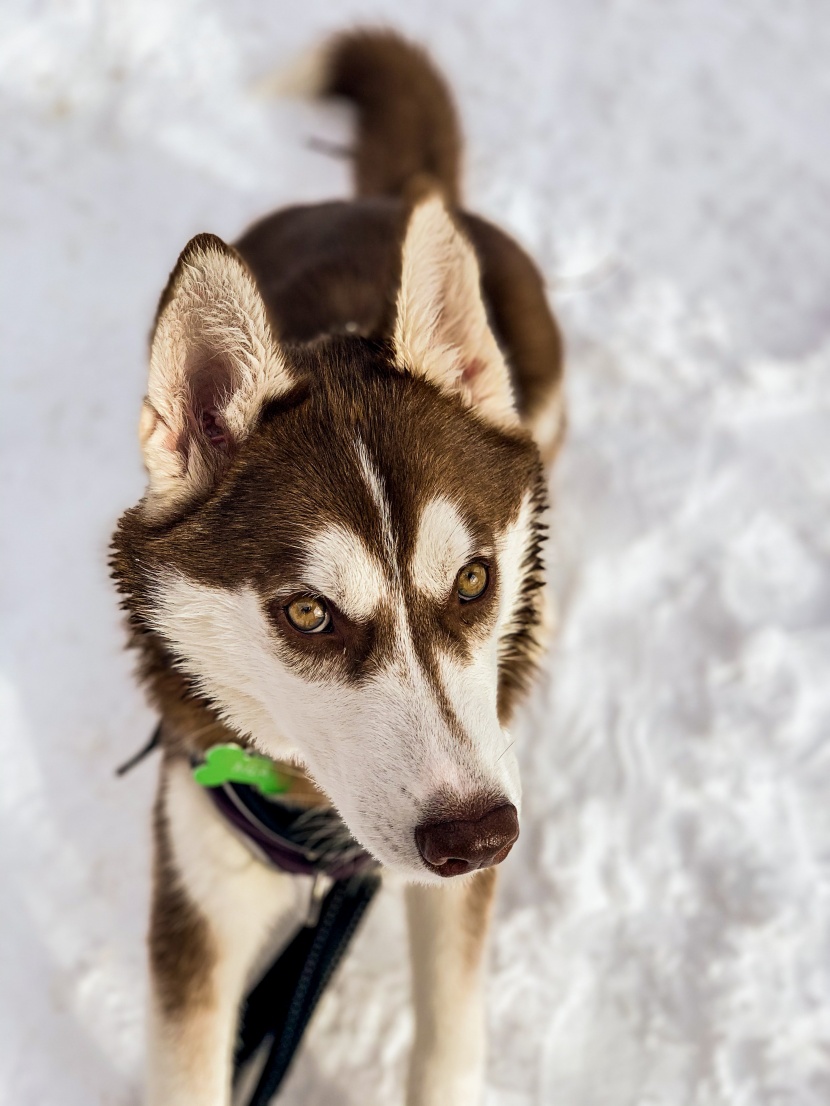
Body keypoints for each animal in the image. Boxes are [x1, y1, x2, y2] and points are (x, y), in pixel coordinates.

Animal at [112, 30, 566, 1106]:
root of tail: (393, 194)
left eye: (474, 580)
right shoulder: (199, 888)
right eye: (309, 613)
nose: (474, 834)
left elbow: (447, 1046)